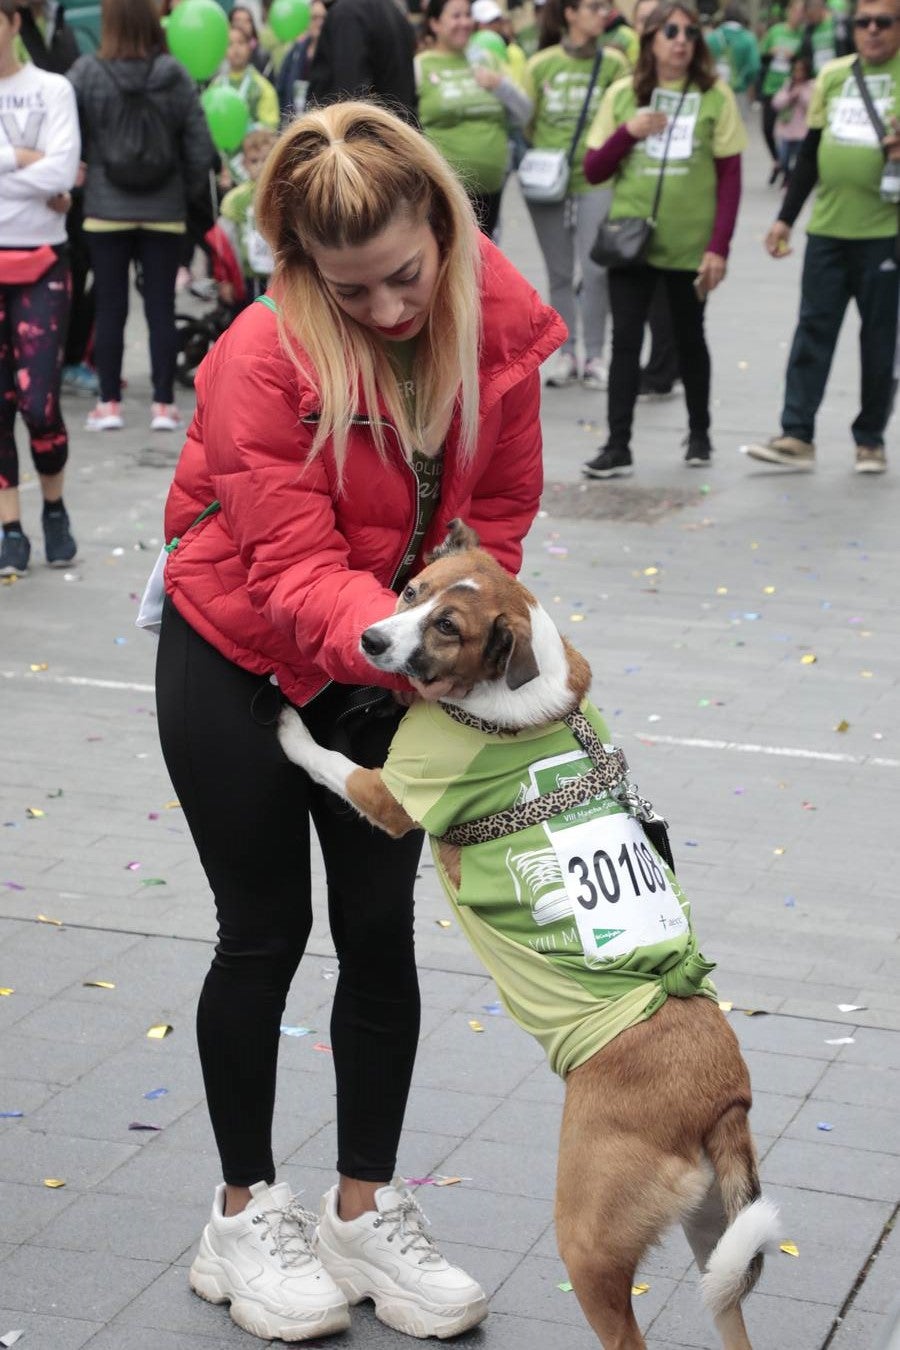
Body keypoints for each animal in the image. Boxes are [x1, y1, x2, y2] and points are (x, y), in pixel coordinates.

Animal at [279, 518, 782, 1350]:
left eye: (448, 627)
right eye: (411, 593)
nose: (370, 639)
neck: (517, 698)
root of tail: (723, 1098)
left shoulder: (393, 794)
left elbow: (328, 761)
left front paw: (288, 726)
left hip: (589, 1235)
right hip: (717, 1241)